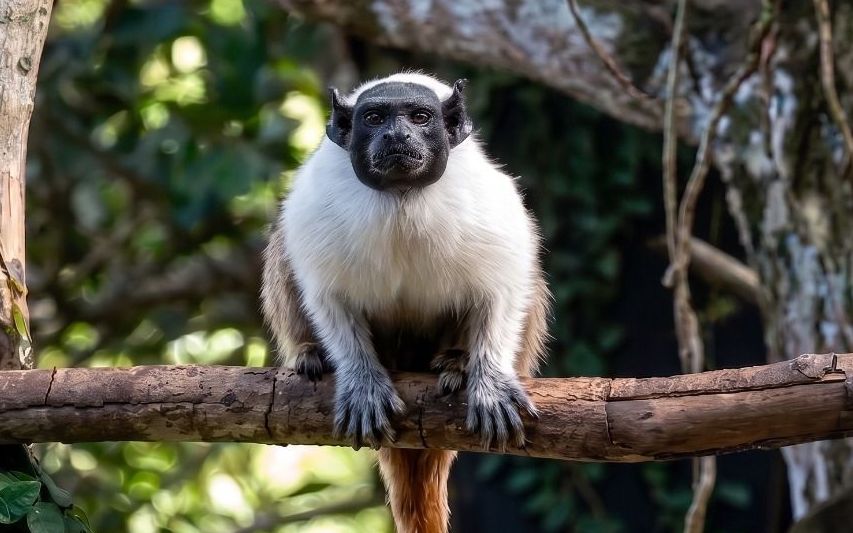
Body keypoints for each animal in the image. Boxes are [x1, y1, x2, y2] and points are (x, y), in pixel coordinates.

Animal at [261, 73, 551, 533]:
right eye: (375, 119)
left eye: (419, 117)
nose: (397, 135)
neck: (401, 196)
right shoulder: (315, 205)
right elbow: (326, 296)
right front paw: (362, 382)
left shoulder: (489, 202)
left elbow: (503, 285)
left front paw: (489, 381)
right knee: (282, 249)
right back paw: (309, 354)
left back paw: (457, 362)